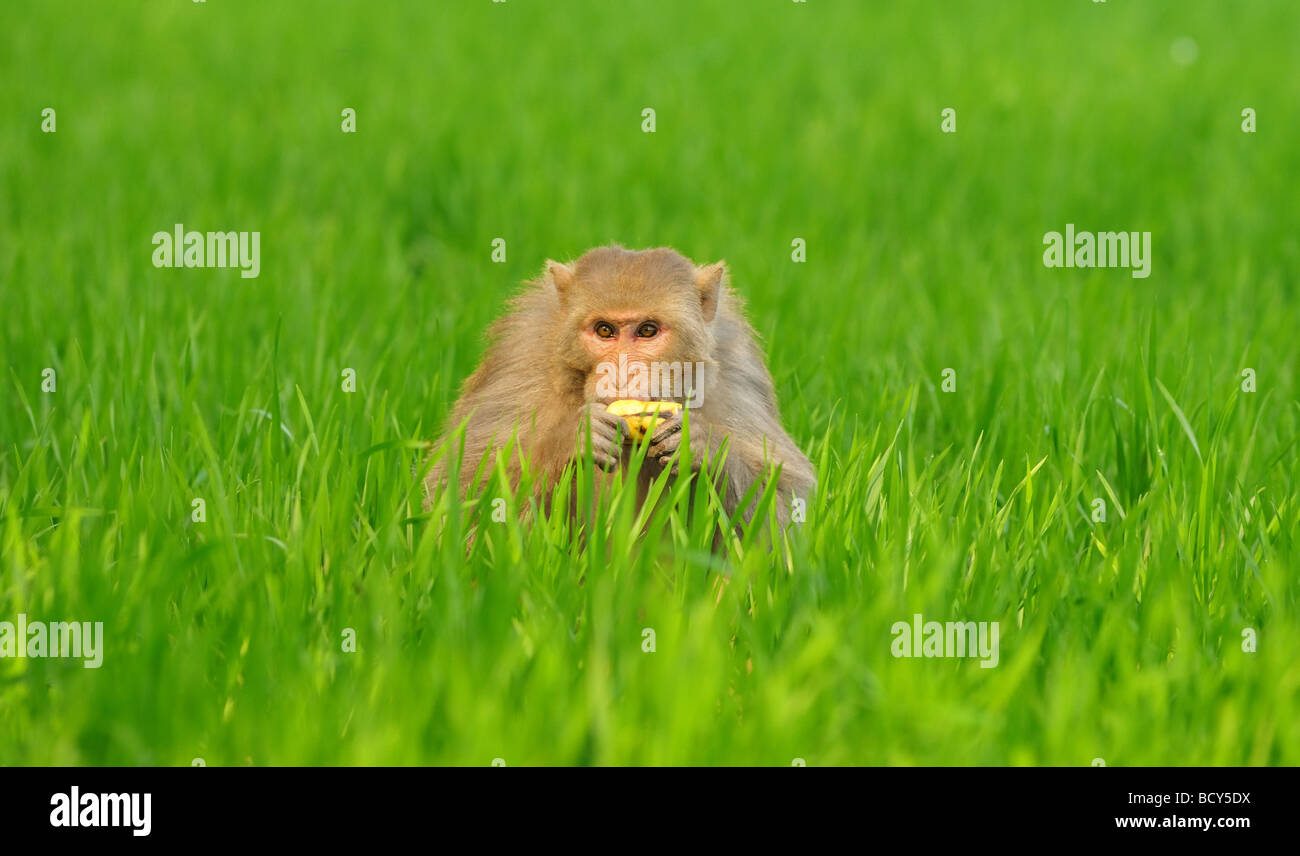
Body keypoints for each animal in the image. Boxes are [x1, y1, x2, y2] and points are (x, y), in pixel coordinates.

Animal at [426, 243, 811, 525]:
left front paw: (704, 447)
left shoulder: (736, 373)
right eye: (604, 330)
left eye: (647, 330)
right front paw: (572, 441)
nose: (624, 372)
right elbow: (458, 497)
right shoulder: (519, 363)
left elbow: (787, 516)